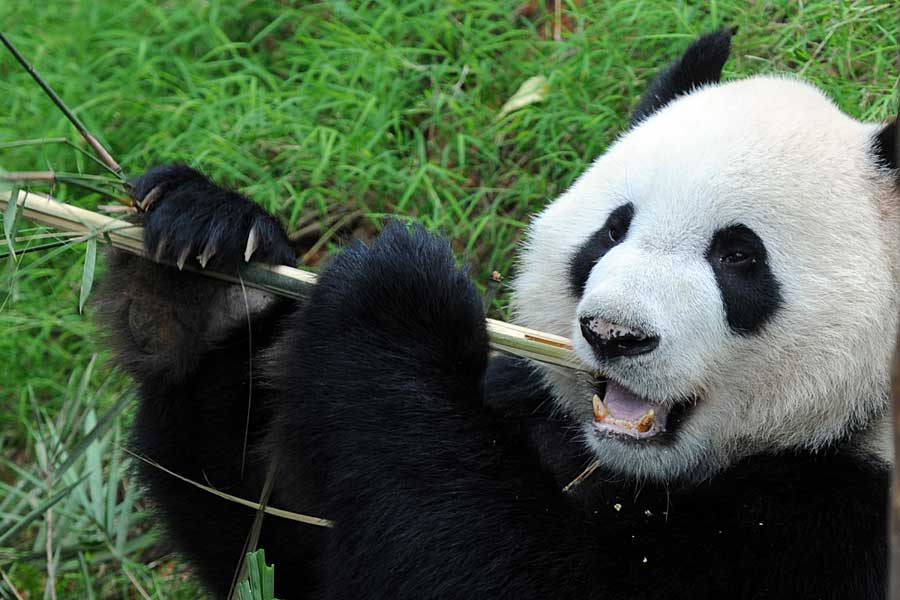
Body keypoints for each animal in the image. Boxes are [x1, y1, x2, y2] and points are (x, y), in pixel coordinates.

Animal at [98, 29, 892, 600]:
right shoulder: (531, 406)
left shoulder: (838, 523)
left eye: (738, 258)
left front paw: (397, 295)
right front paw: (199, 268)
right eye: (612, 231)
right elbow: (283, 555)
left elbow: (500, 571)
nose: (614, 334)